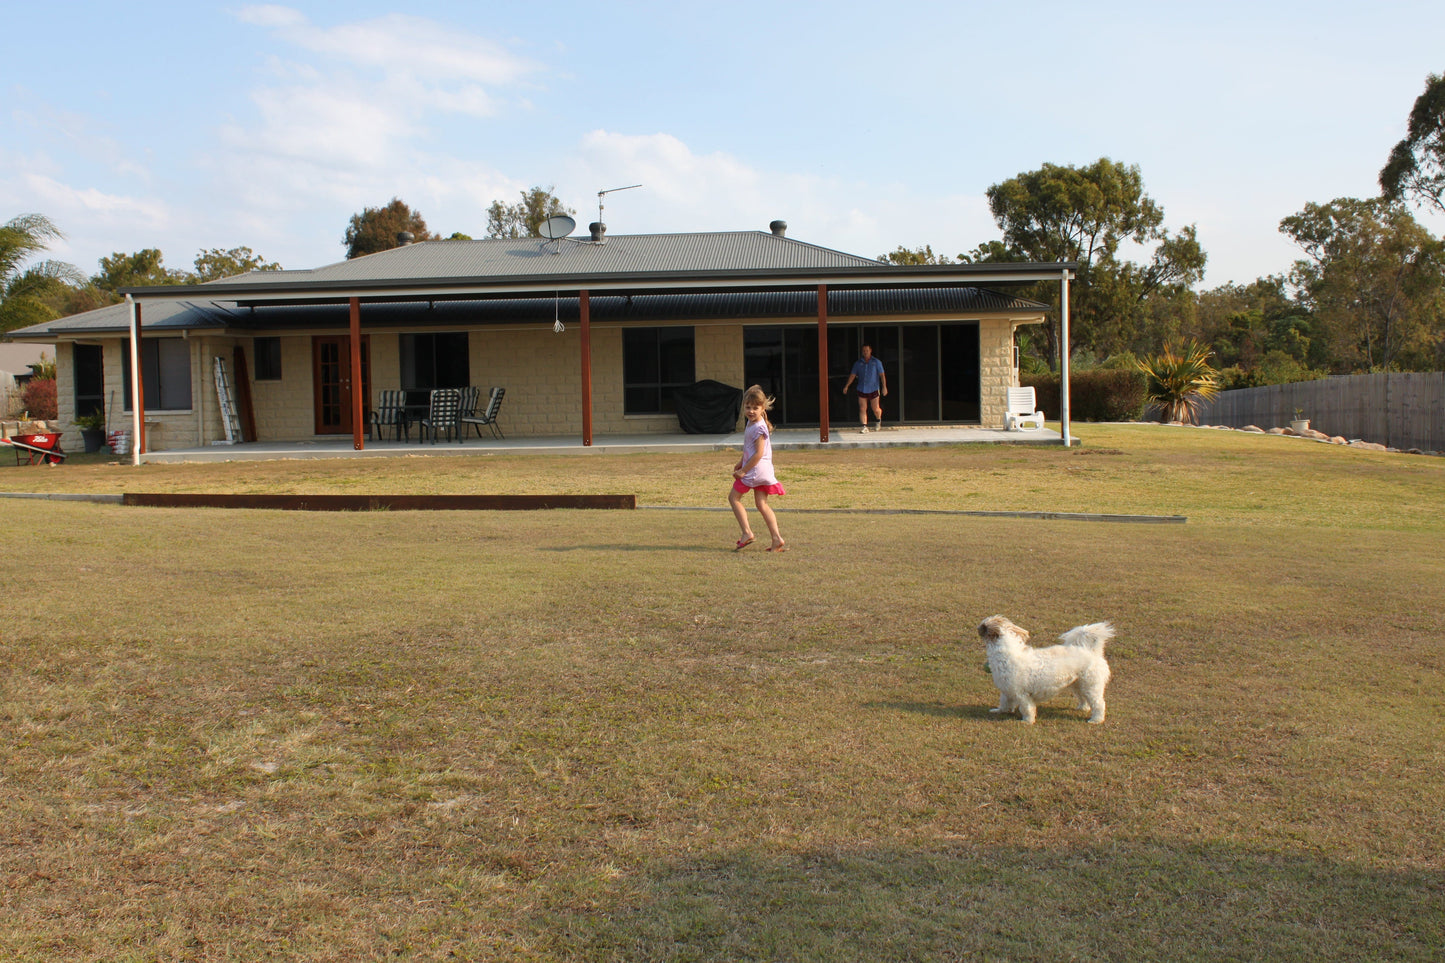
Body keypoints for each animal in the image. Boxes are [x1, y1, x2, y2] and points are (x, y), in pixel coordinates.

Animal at [971, 615, 1115, 720]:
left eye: (983, 626)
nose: (977, 627)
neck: (1005, 654)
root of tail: (1092, 651)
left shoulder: (1022, 694)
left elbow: (1027, 708)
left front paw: (1027, 721)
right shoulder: (1007, 690)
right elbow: (1004, 703)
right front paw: (999, 711)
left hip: (1091, 685)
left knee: (1099, 704)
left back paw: (1096, 720)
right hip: (1078, 685)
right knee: (1084, 699)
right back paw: (1082, 708)